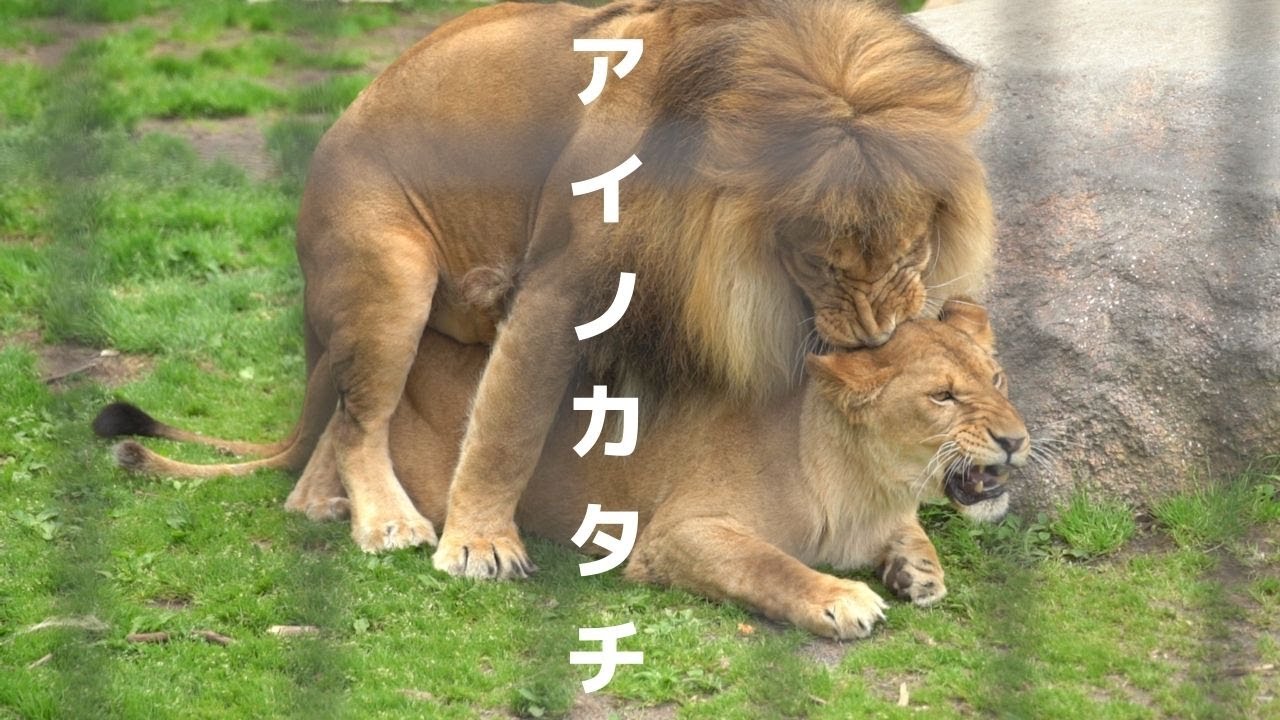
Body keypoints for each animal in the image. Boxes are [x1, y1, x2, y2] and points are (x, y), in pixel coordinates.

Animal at [97, 0, 995, 574]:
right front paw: (479, 546)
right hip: (392, 278)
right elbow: (508, 427)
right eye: (821, 262)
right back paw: (387, 522)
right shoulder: (558, 289)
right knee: (359, 417)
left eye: (912, 253)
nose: (878, 337)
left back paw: (322, 503)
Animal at [107, 299, 1027, 639]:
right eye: (944, 396)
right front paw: (844, 599)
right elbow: (771, 566)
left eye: (997, 378)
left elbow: (912, 536)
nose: (1017, 440)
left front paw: (919, 570)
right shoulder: (675, 536)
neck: (864, 477)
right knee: (324, 461)